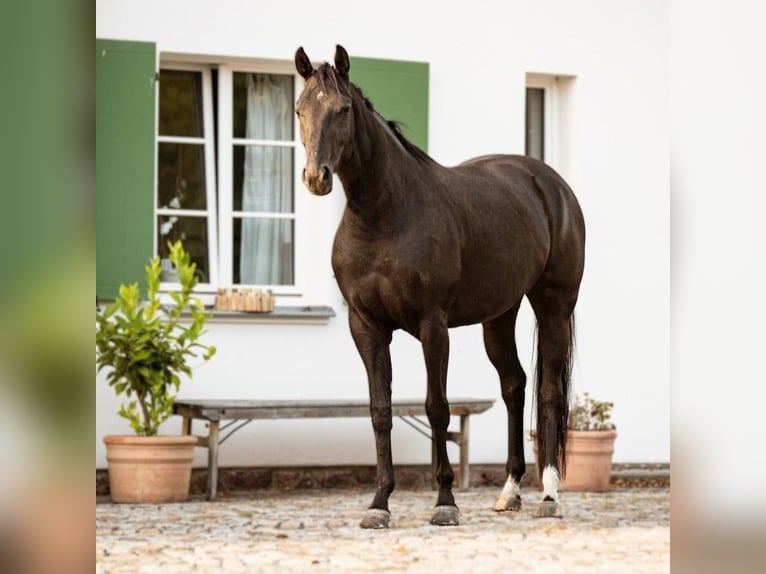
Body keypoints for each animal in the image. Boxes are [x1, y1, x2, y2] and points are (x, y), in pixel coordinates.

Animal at [296, 46, 584, 532]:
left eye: (344, 109)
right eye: (300, 108)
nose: (317, 177)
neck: (386, 215)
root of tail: (552, 185)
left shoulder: (433, 326)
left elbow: (437, 407)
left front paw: (445, 501)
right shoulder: (366, 326)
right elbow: (380, 410)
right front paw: (379, 502)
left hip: (554, 308)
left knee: (549, 392)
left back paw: (548, 494)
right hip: (498, 317)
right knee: (514, 385)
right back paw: (509, 492)